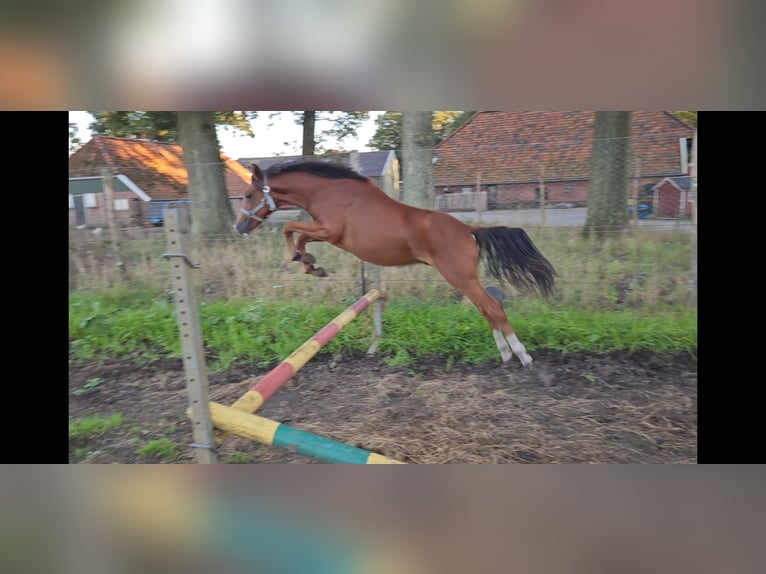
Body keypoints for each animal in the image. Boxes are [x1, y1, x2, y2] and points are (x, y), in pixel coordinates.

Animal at [234, 161, 560, 368]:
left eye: (248, 195)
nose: (239, 227)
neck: (328, 192)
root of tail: (468, 229)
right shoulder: (325, 232)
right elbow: (297, 233)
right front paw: (310, 264)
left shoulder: (330, 231)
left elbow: (291, 228)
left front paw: (306, 261)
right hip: (465, 280)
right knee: (487, 309)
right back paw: (504, 354)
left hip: (461, 278)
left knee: (493, 307)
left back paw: (521, 356)